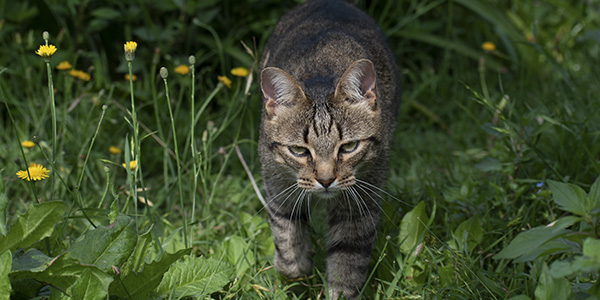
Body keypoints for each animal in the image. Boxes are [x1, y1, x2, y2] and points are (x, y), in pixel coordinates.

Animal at [256, 0, 398, 298]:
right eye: (298, 151)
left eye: (349, 147)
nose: (325, 180)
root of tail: (328, 3)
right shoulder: (277, 187)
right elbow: (287, 243)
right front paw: (298, 268)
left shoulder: (360, 206)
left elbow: (347, 264)